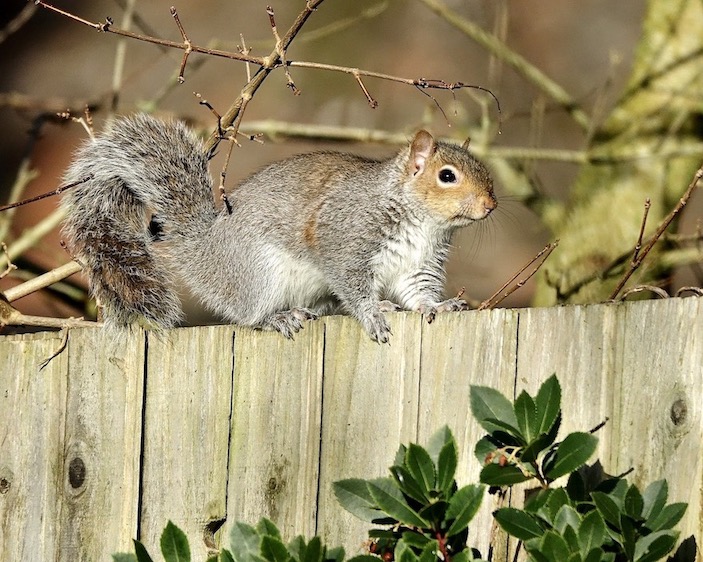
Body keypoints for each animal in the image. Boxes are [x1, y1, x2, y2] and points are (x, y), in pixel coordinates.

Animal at [61, 114, 496, 343]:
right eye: (446, 176)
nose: (490, 205)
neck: (424, 223)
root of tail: (205, 251)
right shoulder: (345, 238)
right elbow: (354, 284)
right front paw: (373, 315)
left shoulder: (418, 263)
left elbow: (418, 293)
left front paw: (437, 306)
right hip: (260, 273)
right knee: (248, 316)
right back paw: (276, 318)